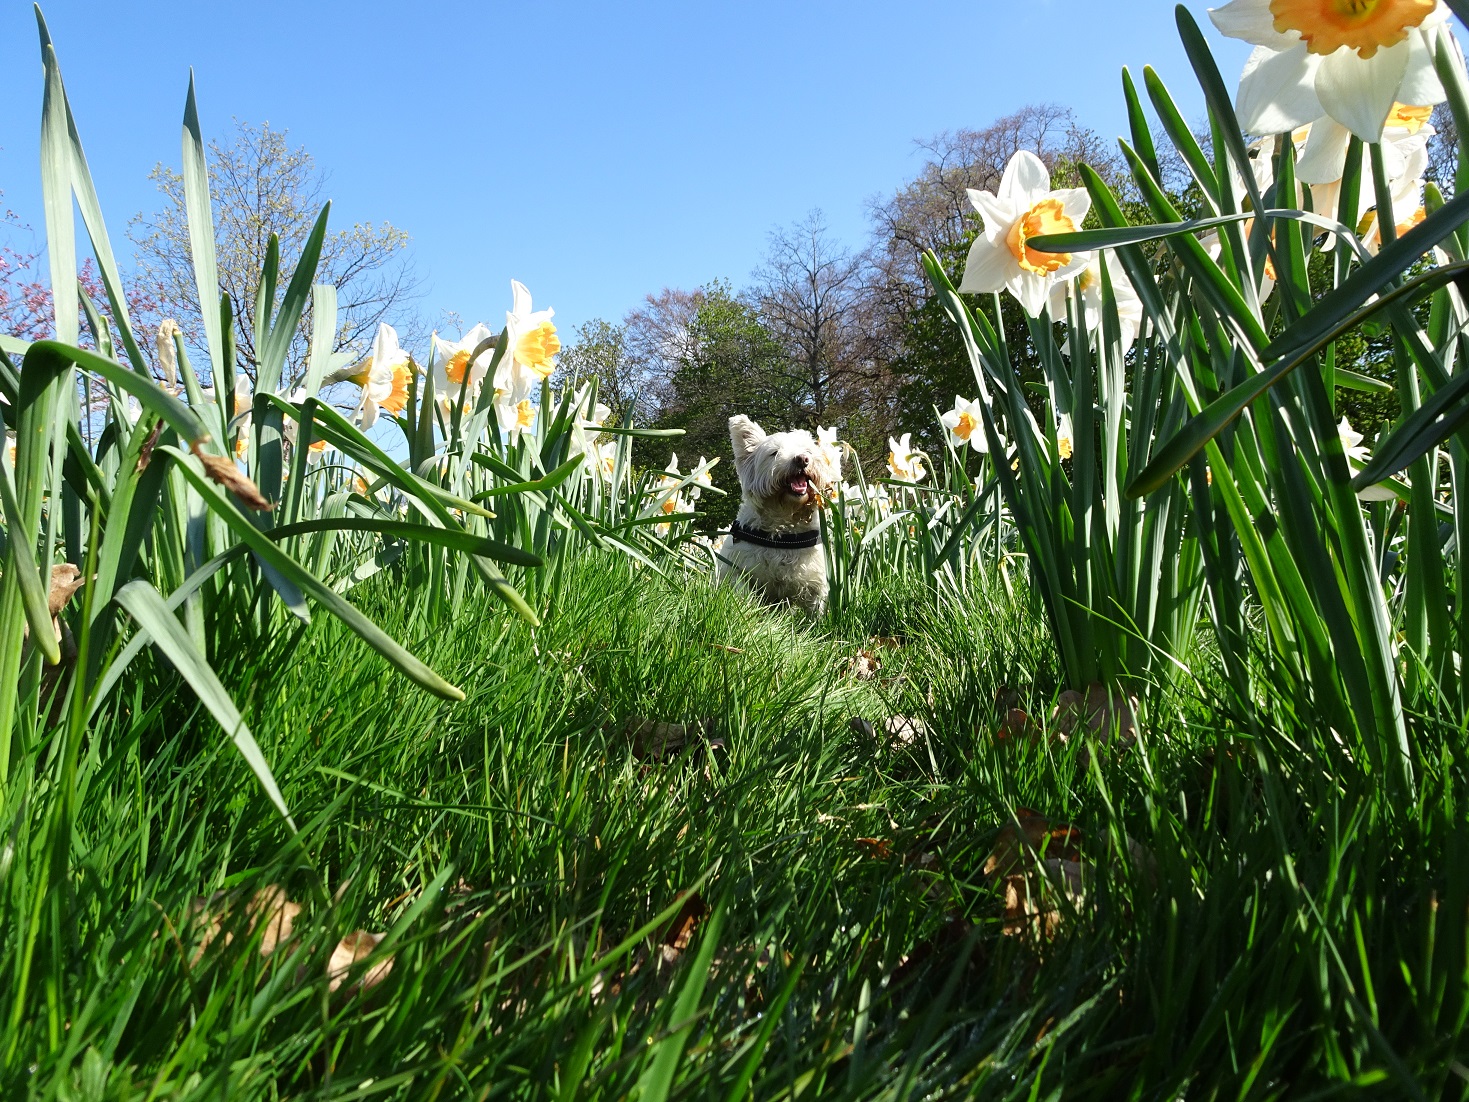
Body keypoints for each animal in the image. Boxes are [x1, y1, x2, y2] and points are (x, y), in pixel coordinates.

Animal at [719, 417, 840, 617]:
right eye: (774, 453)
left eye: (808, 451)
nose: (802, 459)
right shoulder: (740, 573)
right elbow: (741, 598)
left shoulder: (816, 583)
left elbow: (816, 612)